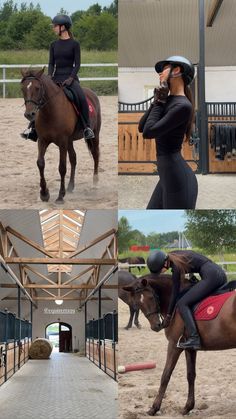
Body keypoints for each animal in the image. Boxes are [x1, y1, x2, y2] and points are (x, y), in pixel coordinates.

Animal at [20, 68, 101, 203]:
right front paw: (44, 193)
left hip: (94, 135)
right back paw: (70, 186)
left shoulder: (62, 142)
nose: (29, 114)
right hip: (70, 141)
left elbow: (62, 167)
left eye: (37, 88)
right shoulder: (42, 140)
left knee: (95, 155)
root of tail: (91, 93)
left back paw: (95, 183)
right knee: (73, 158)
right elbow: (40, 163)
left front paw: (60, 196)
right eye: (23, 89)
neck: (50, 111)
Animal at [125, 276, 236, 416]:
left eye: (150, 298)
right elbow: (190, 375)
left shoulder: (174, 345)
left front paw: (154, 408)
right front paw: (188, 407)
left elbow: (165, 375)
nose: (156, 326)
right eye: (137, 304)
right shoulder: (189, 348)